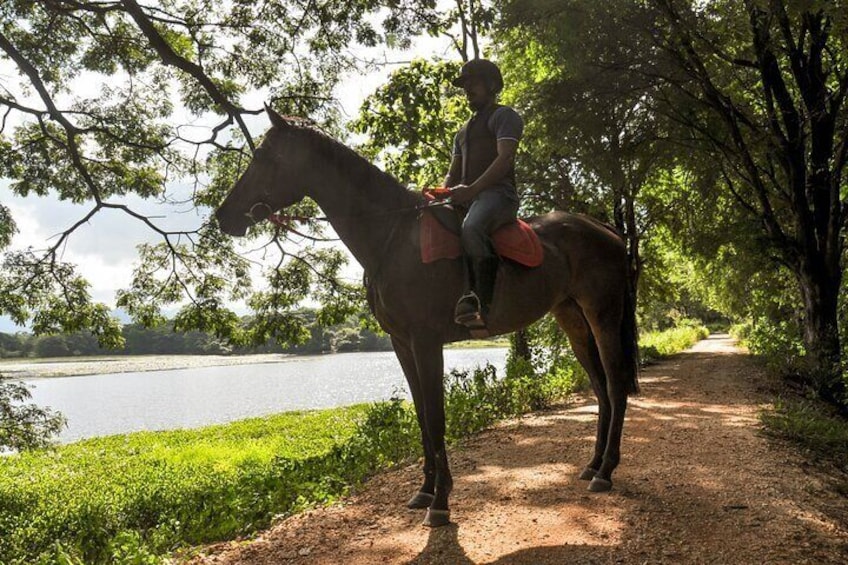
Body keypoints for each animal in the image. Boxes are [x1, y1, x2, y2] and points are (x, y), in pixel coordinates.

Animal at [215, 108, 640, 528]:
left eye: (264, 156)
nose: (223, 216)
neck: (391, 235)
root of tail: (605, 229)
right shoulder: (402, 344)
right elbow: (421, 415)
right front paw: (424, 491)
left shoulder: (425, 341)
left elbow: (436, 417)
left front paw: (441, 502)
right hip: (572, 319)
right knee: (600, 387)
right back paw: (592, 465)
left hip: (602, 314)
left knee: (616, 383)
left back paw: (606, 472)